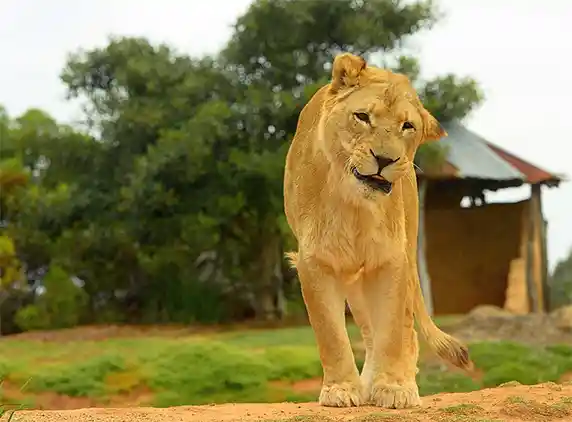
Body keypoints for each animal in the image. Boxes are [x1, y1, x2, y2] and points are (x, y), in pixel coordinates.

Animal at [282, 52, 474, 408]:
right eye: (362, 117)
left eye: (407, 126)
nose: (384, 159)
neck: (355, 206)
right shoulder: (314, 261)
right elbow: (331, 333)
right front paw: (342, 389)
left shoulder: (390, 259)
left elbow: (392, 332)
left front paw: (394, 388)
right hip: (356, 281)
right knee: (369, 333)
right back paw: (365, 384)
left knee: (404, 331)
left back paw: (396, 384)